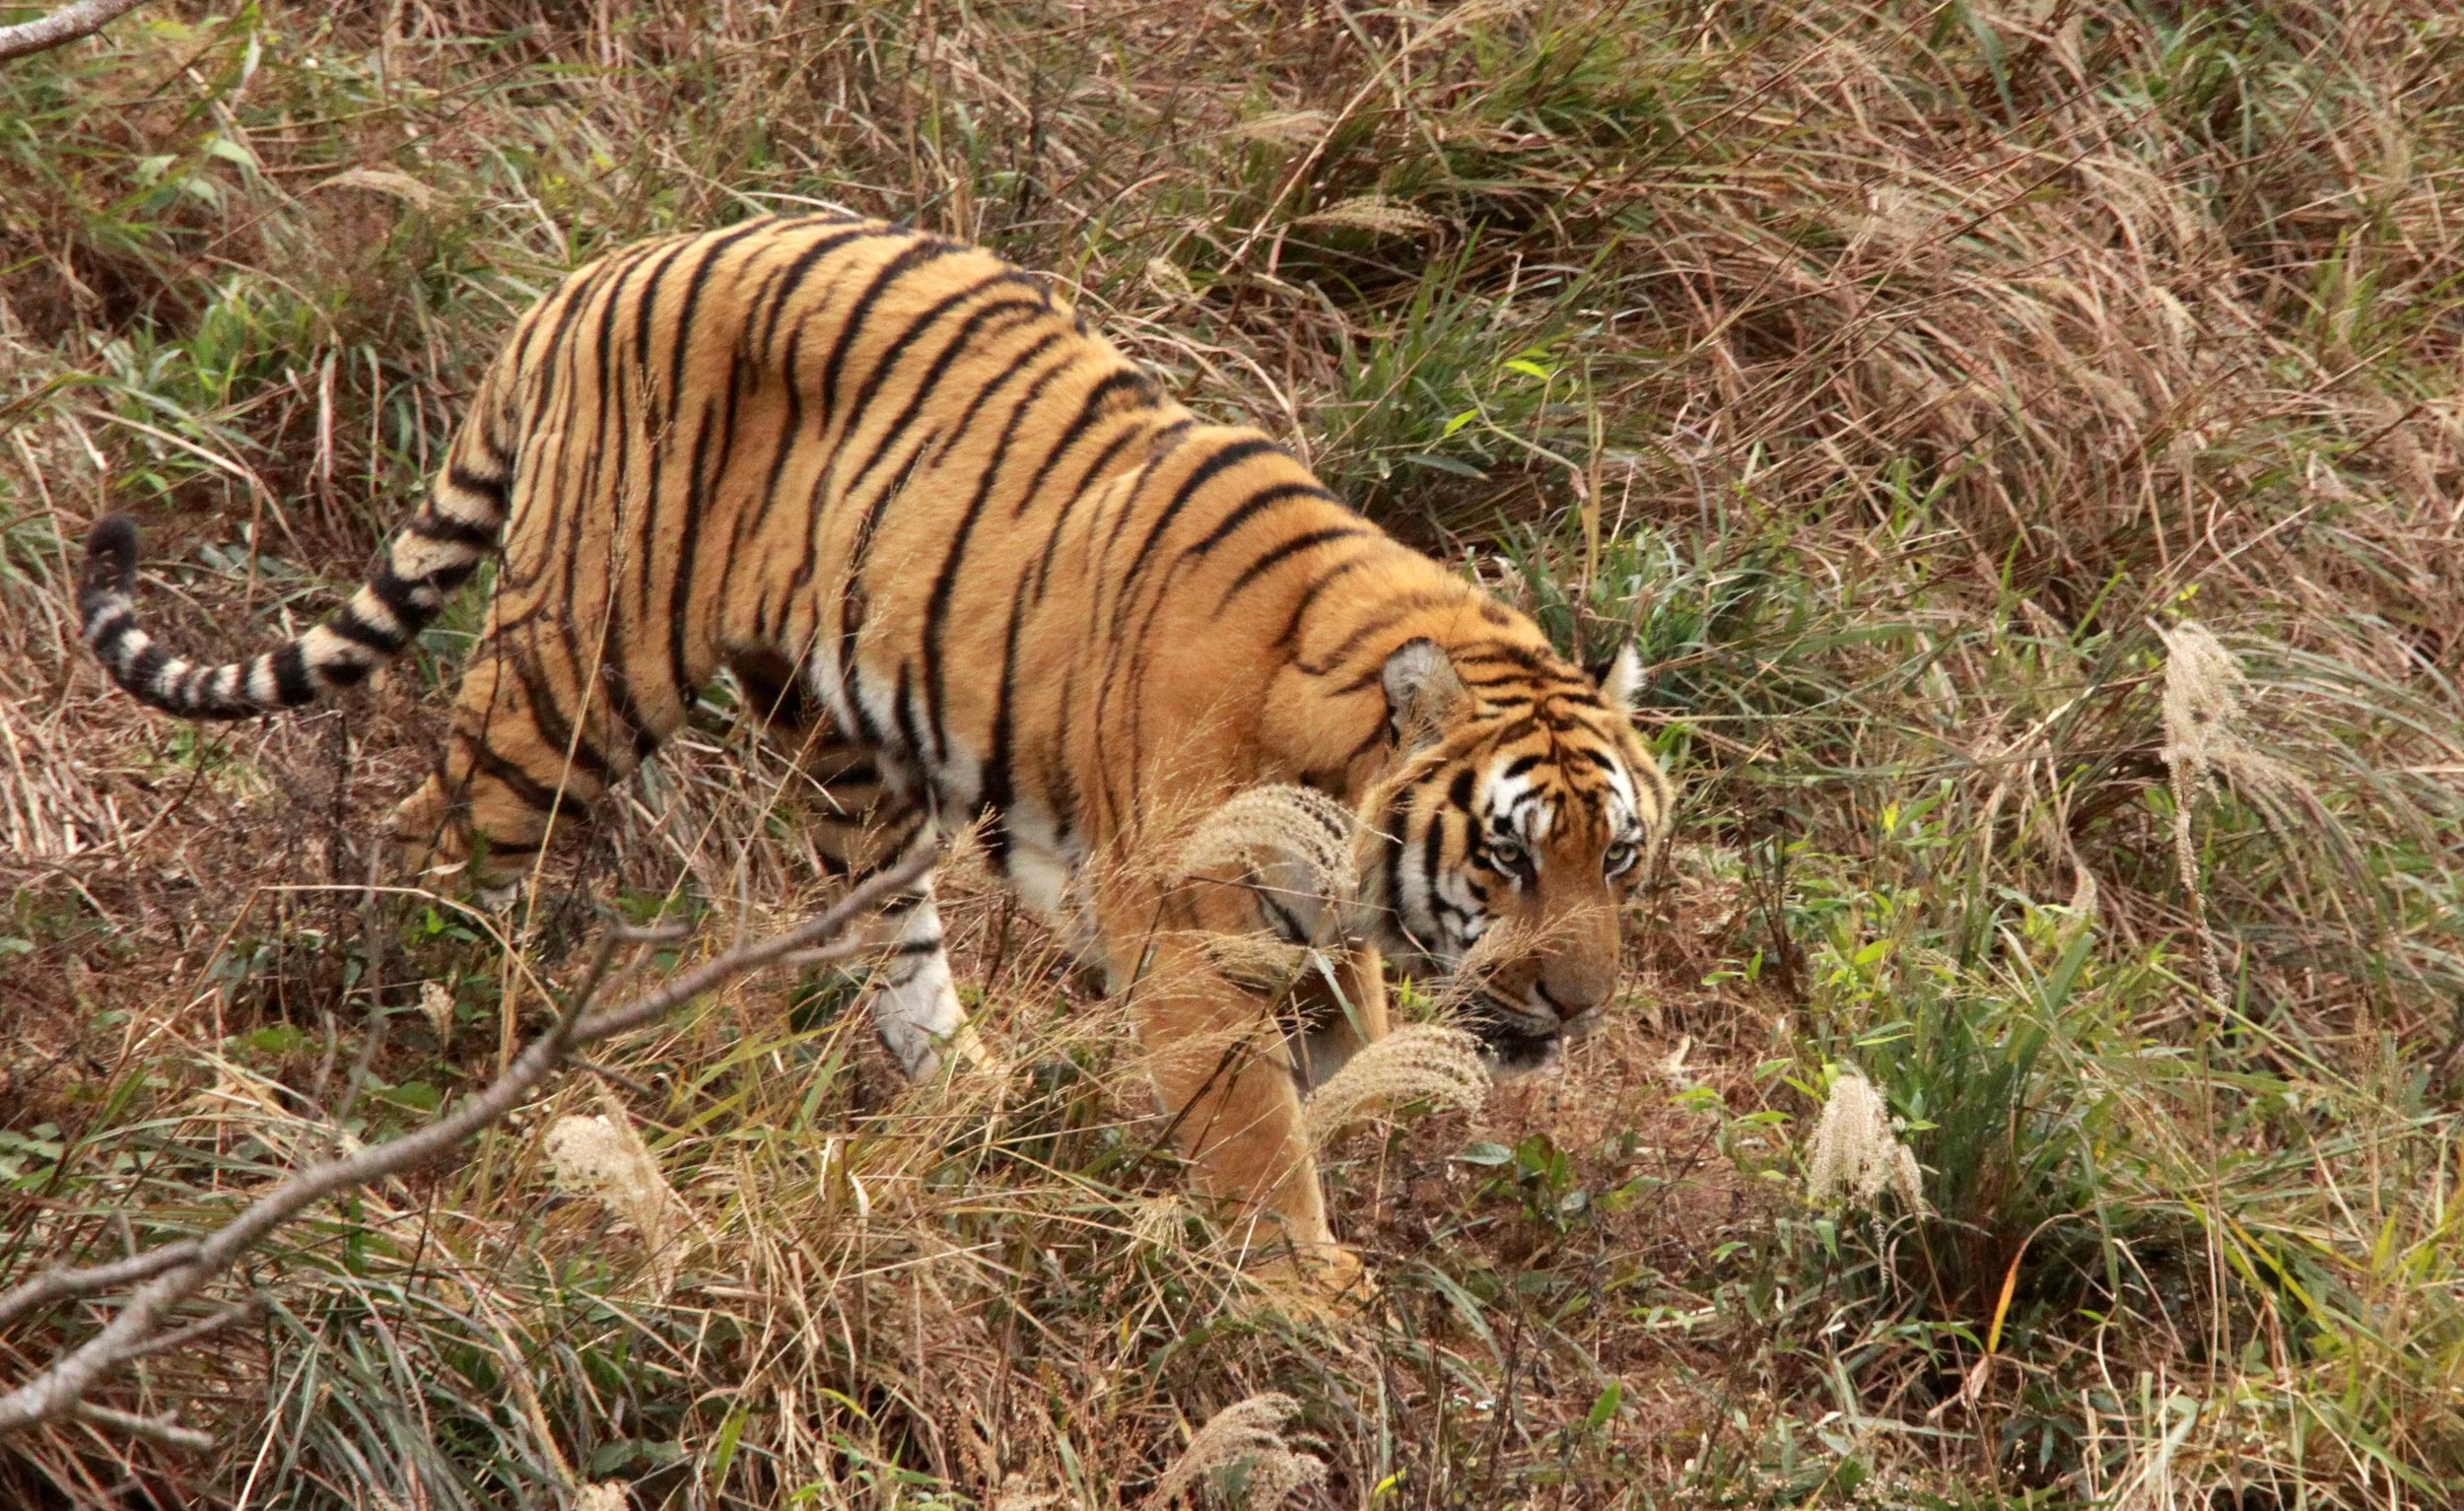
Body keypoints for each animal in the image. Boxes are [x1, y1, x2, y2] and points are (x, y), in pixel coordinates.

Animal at [77, 213, 1673, 1284]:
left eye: (1619, 863)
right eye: (1510, 858)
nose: (1582, 1006)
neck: (1337, 783)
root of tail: (598, 272)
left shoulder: (1307, 932)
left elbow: (1347, 1063)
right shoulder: (1189, 934)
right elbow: (1253, 1127)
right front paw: (1306, 1290)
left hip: (843, 735)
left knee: (884, 928)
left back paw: (972, 1094)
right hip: (575, 676)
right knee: (432, 841)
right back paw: (436, 1028)